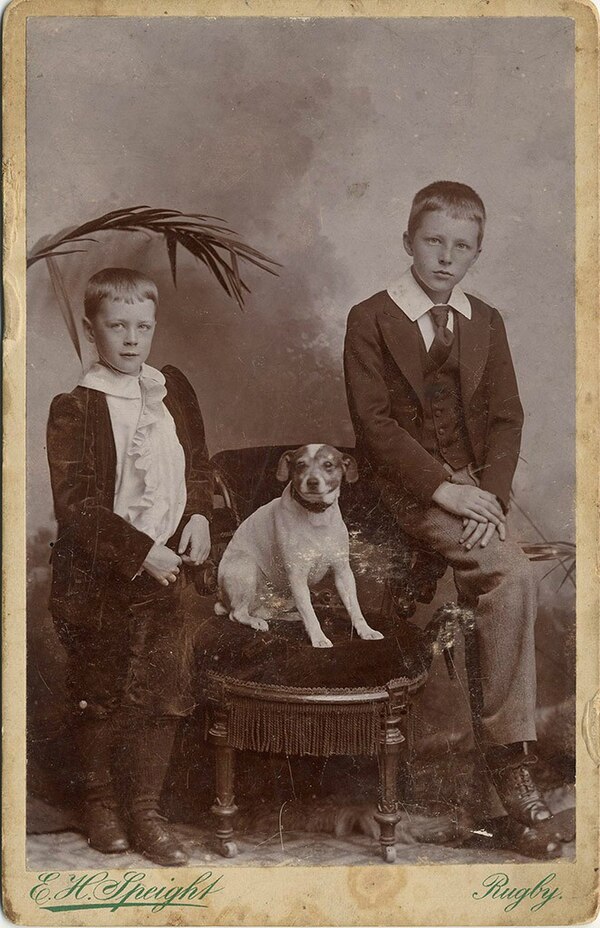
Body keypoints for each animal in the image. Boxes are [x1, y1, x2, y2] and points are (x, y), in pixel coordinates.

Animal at [216, 446, 384, 648]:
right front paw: (319, 638)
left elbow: (355, 607)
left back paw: (292, 616)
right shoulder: (297, 576)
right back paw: (256, 622)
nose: (312, 482)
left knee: (269, 612)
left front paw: (366, 630)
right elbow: (309, 613)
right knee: (237, 613)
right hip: (245, 568)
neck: (316, 516)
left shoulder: (343, 572)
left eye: (328, 464)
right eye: (300, 464)